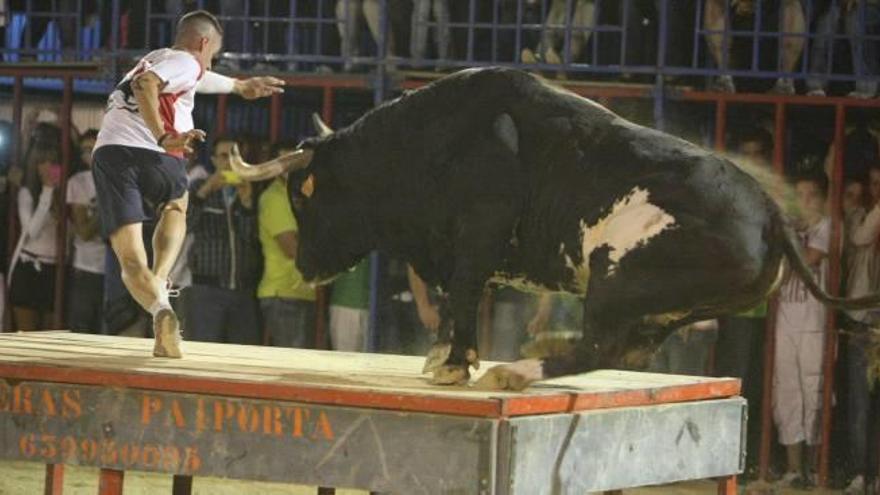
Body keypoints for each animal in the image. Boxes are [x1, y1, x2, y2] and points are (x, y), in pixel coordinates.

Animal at [248, 67, 880, 392]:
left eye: (302, 198)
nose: (304, 267)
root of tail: (769, 211)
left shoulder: (476, 238)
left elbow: (464, 292)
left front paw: (454, 363)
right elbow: (459, 299)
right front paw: (442, 355)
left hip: (617, 278)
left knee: (600, 345)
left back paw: (518, 369)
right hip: (661, 306)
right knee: (625, 351)